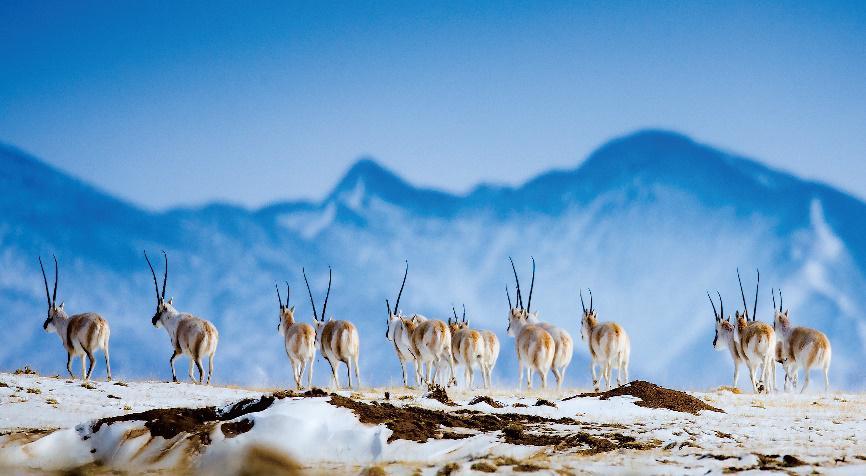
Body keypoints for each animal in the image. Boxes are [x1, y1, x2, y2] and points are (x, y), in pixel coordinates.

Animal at [145, 251, 219, 384]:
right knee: (210, 372)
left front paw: (175, 378)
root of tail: (208, 330)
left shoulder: (178, 350)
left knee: (202, 372)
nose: (153, 321)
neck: (174, 319)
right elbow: (190, 373)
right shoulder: (189, 356)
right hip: (210, 356)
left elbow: (171, 360)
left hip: (197, 356)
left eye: (158, 309)